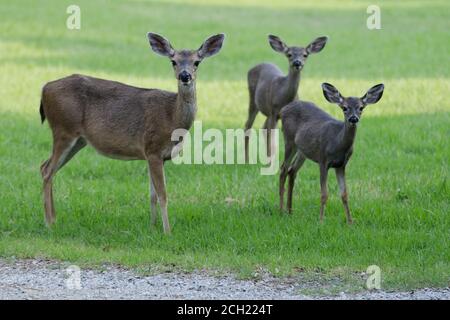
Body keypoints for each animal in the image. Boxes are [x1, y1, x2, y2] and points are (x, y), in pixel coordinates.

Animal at [39, 32, 225, 234]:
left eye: (197, 62)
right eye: (173, 61)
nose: (185, 75)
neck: (172, 118)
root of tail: (44, 88)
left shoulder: (157, 156)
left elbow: (152, 194)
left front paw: (153, 226)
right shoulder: (153, 148)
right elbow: (163, 195)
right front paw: (167, 232)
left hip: (78, 139)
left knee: (45, 167)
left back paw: (54, 219)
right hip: (63, 129)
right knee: (47, 170)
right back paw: (48, 222)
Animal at [280, 81, 384, 224]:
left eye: (361, 108)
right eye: (344, 108)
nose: (353, 118)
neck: (337, 142)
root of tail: (284, 109)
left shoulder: (341, 165)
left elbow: (344, 194)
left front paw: (350, 222)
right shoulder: (323, 160)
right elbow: (324, 194)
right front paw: (321, 220)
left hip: (303, 151)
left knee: (292, 170)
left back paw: (290, 211)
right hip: (289, 140)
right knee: (283, 169)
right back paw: (280, 209)